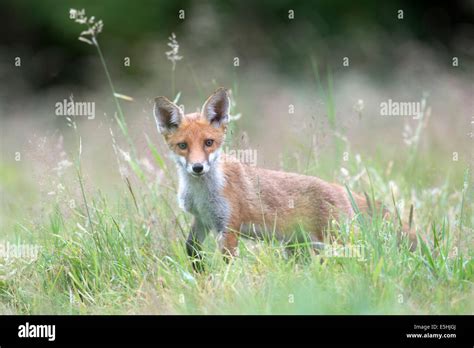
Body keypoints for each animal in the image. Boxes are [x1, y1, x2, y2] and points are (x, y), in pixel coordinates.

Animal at [154, 87, 416, 266]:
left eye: (209, 143)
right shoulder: (202, 220)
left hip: (335, 241)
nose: (198, 167)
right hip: (298, 249)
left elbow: (228, 265)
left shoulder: (229, 227)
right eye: (183, 146)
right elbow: (192, 252)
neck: (202, 192)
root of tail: (339, 187)